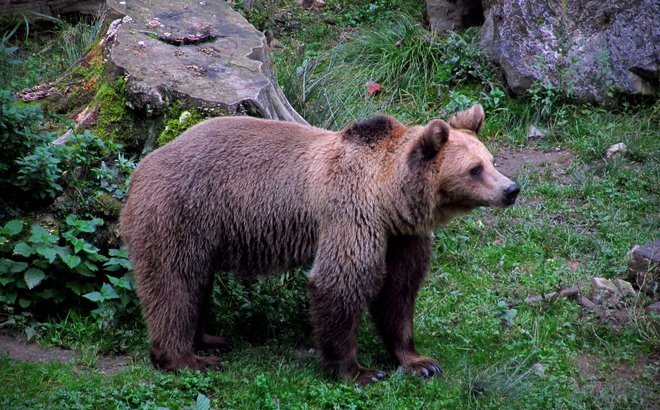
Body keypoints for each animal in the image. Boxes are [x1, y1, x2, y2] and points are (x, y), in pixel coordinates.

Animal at [120, 104, 520, 386]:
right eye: (474, 169)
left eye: (491, 160)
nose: (511, 189)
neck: (389, 197)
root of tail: (140, 169)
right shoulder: (352, 214)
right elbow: (341, 283)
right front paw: (359, 370)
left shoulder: (401, 237)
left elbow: (399, 292)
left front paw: (420, 361)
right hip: (180, 212)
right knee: (174, 283)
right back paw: (187, 359)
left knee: (197, 282)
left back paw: (210, 338)